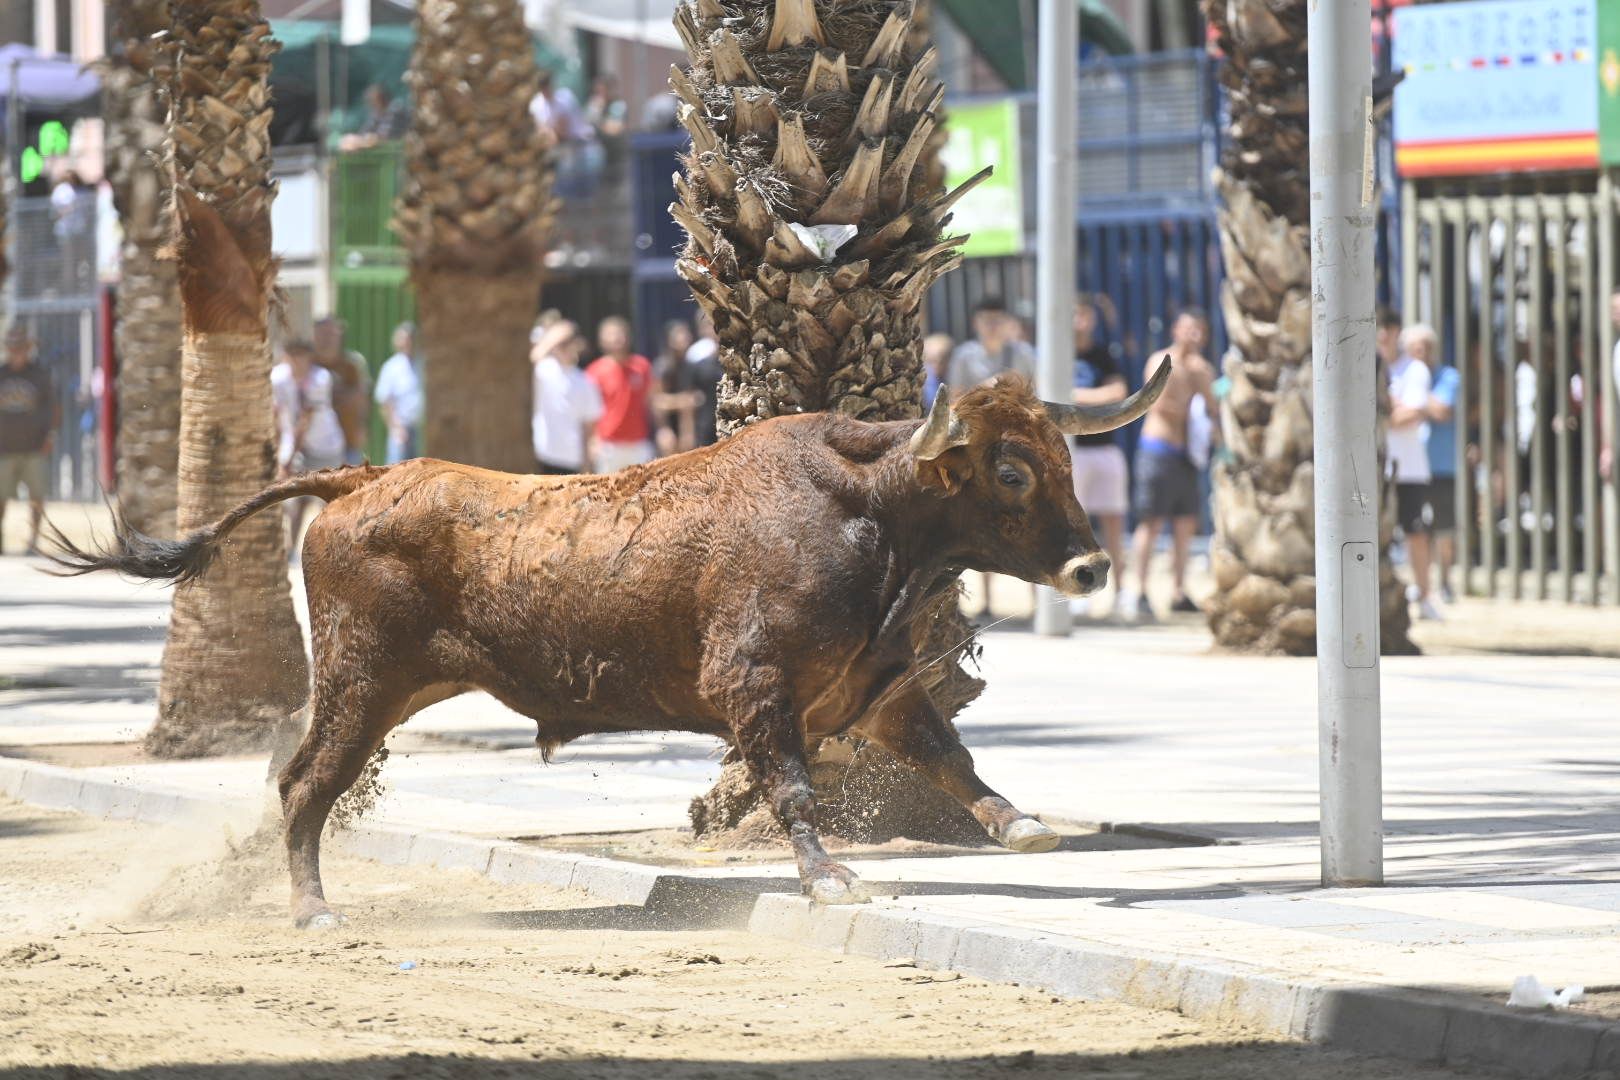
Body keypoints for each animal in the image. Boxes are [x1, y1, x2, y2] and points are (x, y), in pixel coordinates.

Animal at [53, 367, 1166, 926]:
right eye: (1013, 471)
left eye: (1066, 459)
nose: (1092, 569)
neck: (864, 514)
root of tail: (361, 479)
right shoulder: (755, 686)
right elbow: (793, 787)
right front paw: (829, 878)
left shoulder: (878, 689)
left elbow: (950, 756)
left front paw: (1019, 824)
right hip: (360, 686)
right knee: (303, 786)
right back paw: (314, 910)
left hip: (381, 691)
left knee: (298, 782)